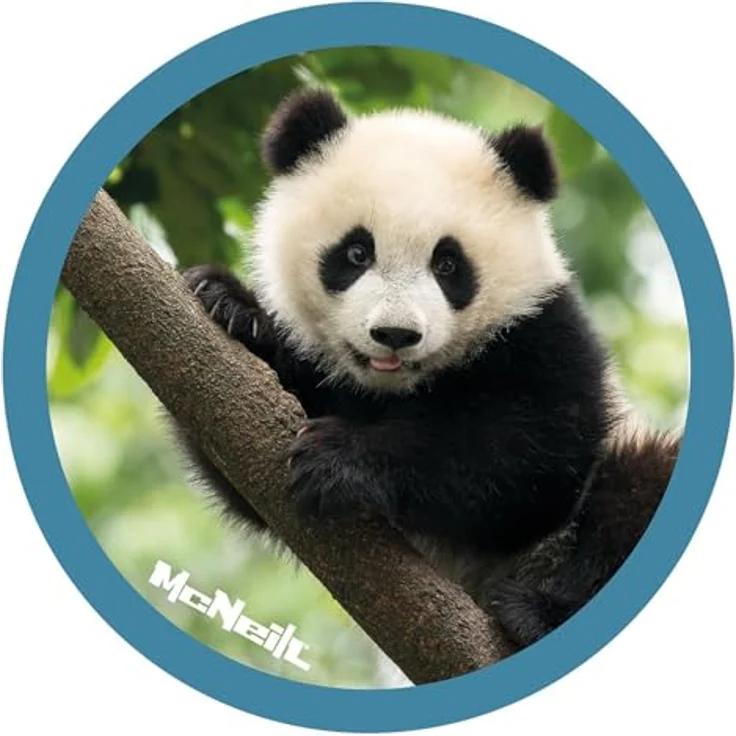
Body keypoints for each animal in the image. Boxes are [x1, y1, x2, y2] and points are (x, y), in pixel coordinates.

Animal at [178, 88, 681, 651]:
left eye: (448, 264)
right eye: (356, 252)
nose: (395, 334)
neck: (398, 388)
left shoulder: (546, 332)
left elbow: (533, 453)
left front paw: (339, 459)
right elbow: (242, 464)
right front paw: (232, 307)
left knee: (637, 485)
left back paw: (534, 612)